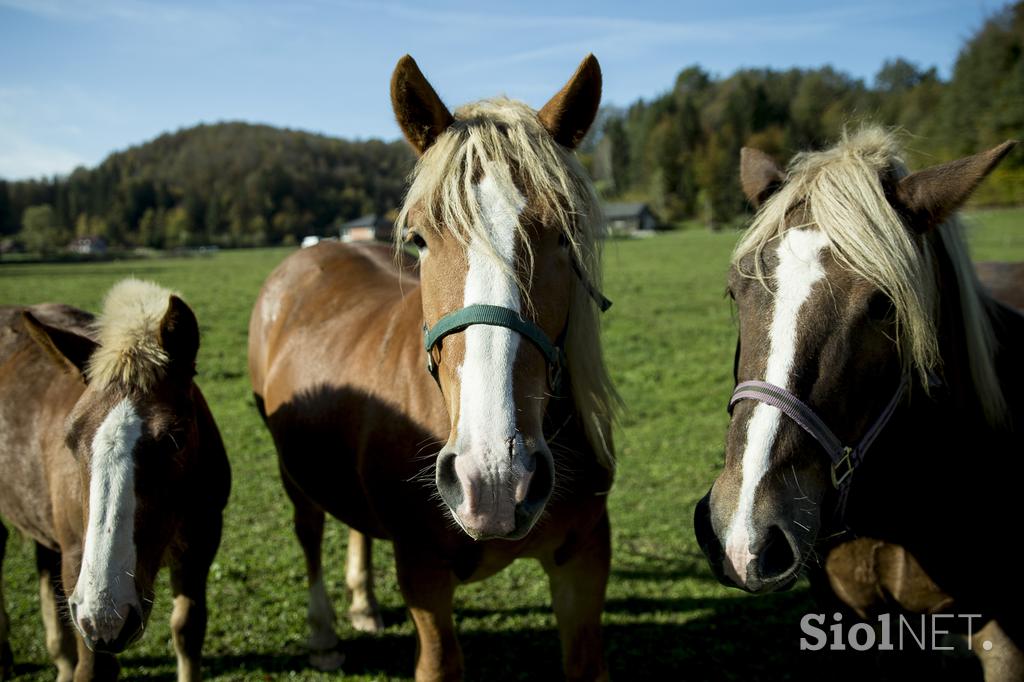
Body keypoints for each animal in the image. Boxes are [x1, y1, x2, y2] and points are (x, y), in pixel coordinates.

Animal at [0, 278, 231, 675]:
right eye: (70, 438)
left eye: (175, 438)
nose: (106, 615)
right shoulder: (75, 565)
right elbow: (94, 666)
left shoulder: (200, 549)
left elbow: (188, 632)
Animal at [247, 54, 614, 679]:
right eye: (419, 238)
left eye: (564, 234)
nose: (494, 477)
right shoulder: (423, 575)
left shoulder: (585, 563)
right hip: (293, 468)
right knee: (309, 530)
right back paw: (323, 634)